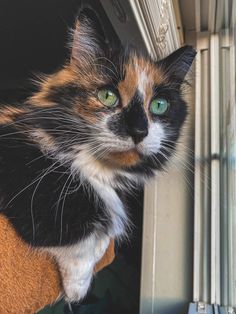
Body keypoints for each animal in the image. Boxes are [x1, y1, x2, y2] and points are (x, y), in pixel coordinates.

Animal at [0, 13, 195, 302]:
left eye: (159, 105)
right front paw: (76, 289)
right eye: (107, 96)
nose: (139, 131)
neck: (96, 169)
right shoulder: (28, 173)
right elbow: (83, 232)